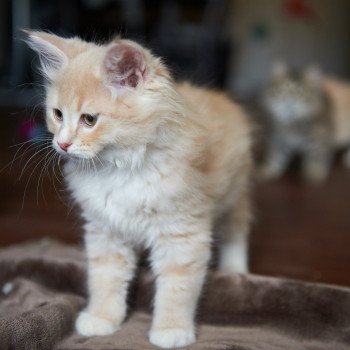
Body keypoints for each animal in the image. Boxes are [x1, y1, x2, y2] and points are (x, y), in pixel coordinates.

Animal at [26, 31, 253, 348]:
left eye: (89, 120)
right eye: (58, 114)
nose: (62, 143)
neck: (120, 168)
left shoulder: (182, 233)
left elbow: (178, 287)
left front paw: (172, 329)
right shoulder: (106, 230)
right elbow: (105, 278)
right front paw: (101, 318)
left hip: (235, 193)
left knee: (236, 230)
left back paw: (235, 270)